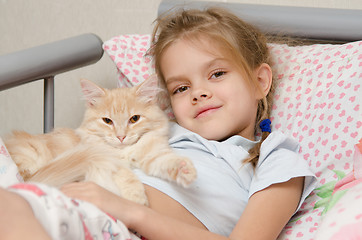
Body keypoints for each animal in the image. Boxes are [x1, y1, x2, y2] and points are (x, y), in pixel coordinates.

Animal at [4, 76, 197, 205]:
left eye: (134, 119)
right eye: (107, 121)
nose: (121, 137)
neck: (124, 151)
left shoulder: (152, 153)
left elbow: (167, 160)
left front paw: (185, 170)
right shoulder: (104, 160)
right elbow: (127, 175)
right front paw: (137, 199)